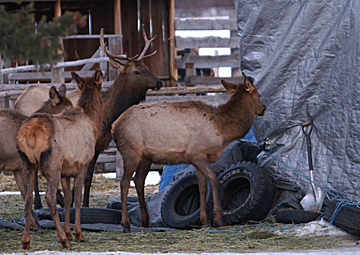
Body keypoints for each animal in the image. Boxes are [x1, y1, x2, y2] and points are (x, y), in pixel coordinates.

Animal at [13, 24, 163, 207]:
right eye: (136, 71)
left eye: (146, 68)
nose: (159, 82)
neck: (108, 114)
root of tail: (18, 100)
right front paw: (75, 203)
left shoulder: (97, 146)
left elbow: (88, 178)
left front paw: (82, 203)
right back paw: (40, 203)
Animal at [17, 70, 103, 249]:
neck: (93, 124)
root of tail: (30, 133)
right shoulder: (83, 164)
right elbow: (77, 198)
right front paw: (77, 234)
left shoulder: (66, 171)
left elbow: (68, 199)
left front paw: (69, 232)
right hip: (53, 162)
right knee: (49, 196)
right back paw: (63, 239)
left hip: (27, 162)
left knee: (27, 197)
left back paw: (26, 240)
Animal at [111, 76, 266, 232]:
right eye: (258, 95)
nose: (264, 108)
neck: (222, 130)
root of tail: (114, 127)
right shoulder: (195, 153)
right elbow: (214, 179)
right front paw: (218, 219)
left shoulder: (199, 158)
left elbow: (202, 186)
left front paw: (205, 221)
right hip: (131, 151)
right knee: (124, 182)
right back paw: (126, 224)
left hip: (145, 157)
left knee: (138, 180)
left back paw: (144, 220)